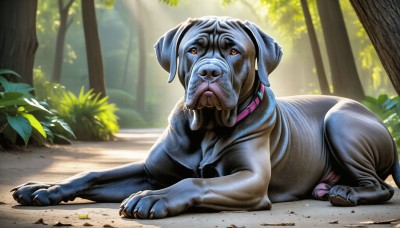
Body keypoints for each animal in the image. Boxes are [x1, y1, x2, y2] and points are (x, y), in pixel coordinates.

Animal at [10, 16, 398, 219]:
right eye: (193, 49)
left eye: (234, 51)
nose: (210, 71)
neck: (206, 128)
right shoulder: (150, 170)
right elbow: (93, 174)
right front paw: (42, 188)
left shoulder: (250, 179)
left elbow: (193, 182)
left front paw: (152, 198)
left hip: (341, 121)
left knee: (381, 187)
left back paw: (345, 191)